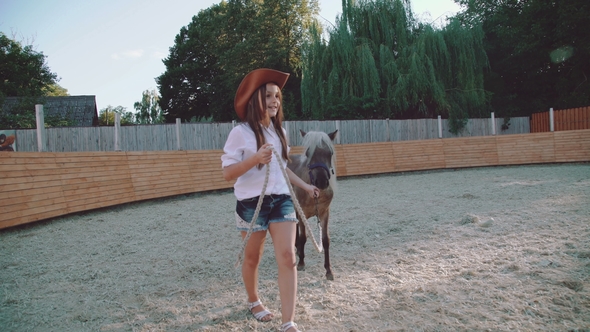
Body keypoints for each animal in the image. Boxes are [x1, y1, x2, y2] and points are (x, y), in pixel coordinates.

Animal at [290, 130, 340, 280]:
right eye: (308, 153)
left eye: (329, 153)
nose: (321, 181)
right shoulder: (302, 214)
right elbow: (303, 237)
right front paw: (301, 262)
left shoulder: (324, 213)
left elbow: (325, 240)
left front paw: (328, 270)